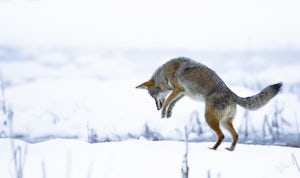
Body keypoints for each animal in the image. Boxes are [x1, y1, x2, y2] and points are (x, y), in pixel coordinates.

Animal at [137, 57, 282, 152]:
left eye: (153, 97)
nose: (157, 108)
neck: (166, 74)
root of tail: (232, 94)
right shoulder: (183, 93)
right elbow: (173, 103)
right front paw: (168, 112)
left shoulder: (178, 89)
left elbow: (168, 100)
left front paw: (163, 111)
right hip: (224, 122)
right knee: (236, 135)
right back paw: (230, 149)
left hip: (209, 119)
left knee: (222, 136)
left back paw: (213, 149)